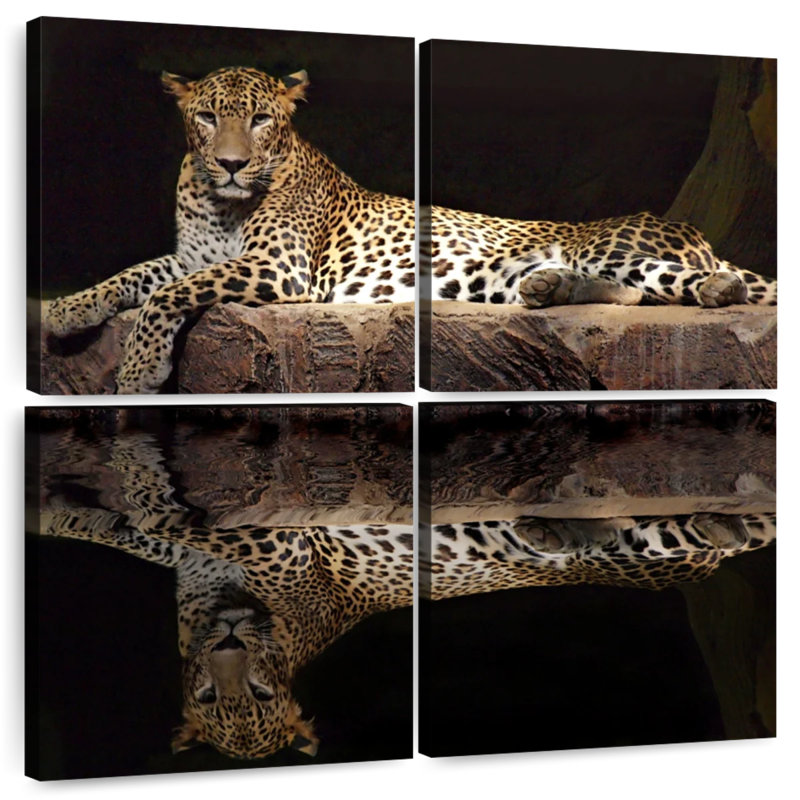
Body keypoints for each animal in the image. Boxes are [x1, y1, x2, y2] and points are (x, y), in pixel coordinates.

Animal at [42, 66, 415, 394]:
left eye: (260, 119)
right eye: (208, 117)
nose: (232, 164)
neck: (222, 207)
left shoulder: (277, 264)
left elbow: (170, 292)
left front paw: (140, 366)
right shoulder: (193, 259)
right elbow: (136, 273)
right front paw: (72, 307)